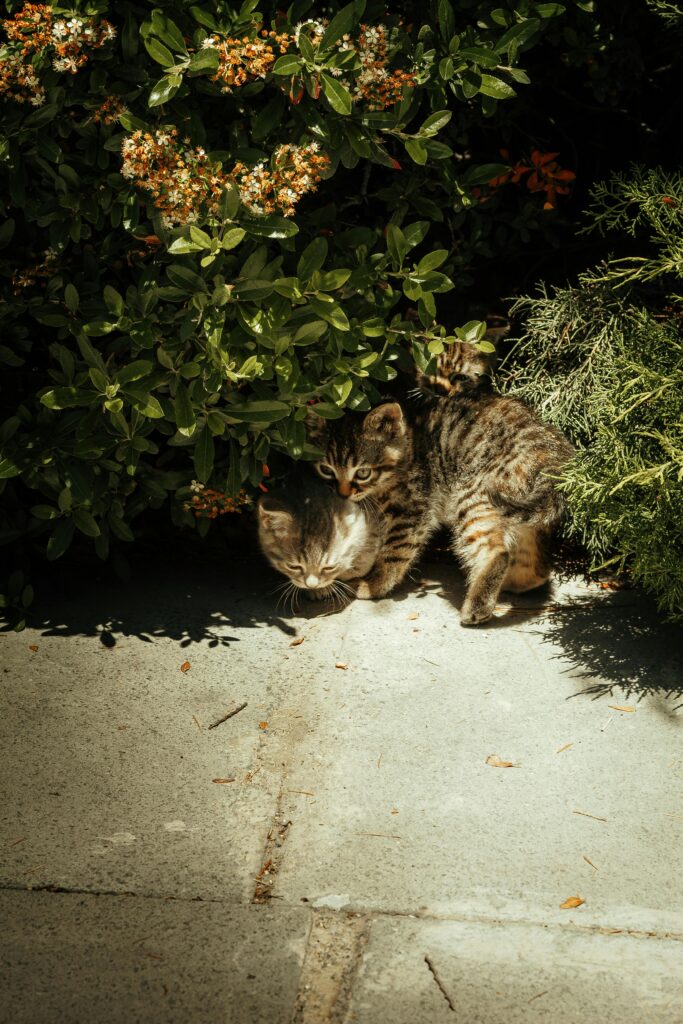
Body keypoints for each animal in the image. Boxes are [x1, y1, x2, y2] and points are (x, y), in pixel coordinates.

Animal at [306, 355, 573, 625]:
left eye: (362, 472)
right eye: (326, 470)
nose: (343, 494)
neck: (407, 446)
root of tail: (555, 457)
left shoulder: (412, 510)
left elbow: (395, 551)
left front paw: (375, 585)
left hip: (473, 494)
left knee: (498, 552)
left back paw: (477, 606)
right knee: (534, 563)